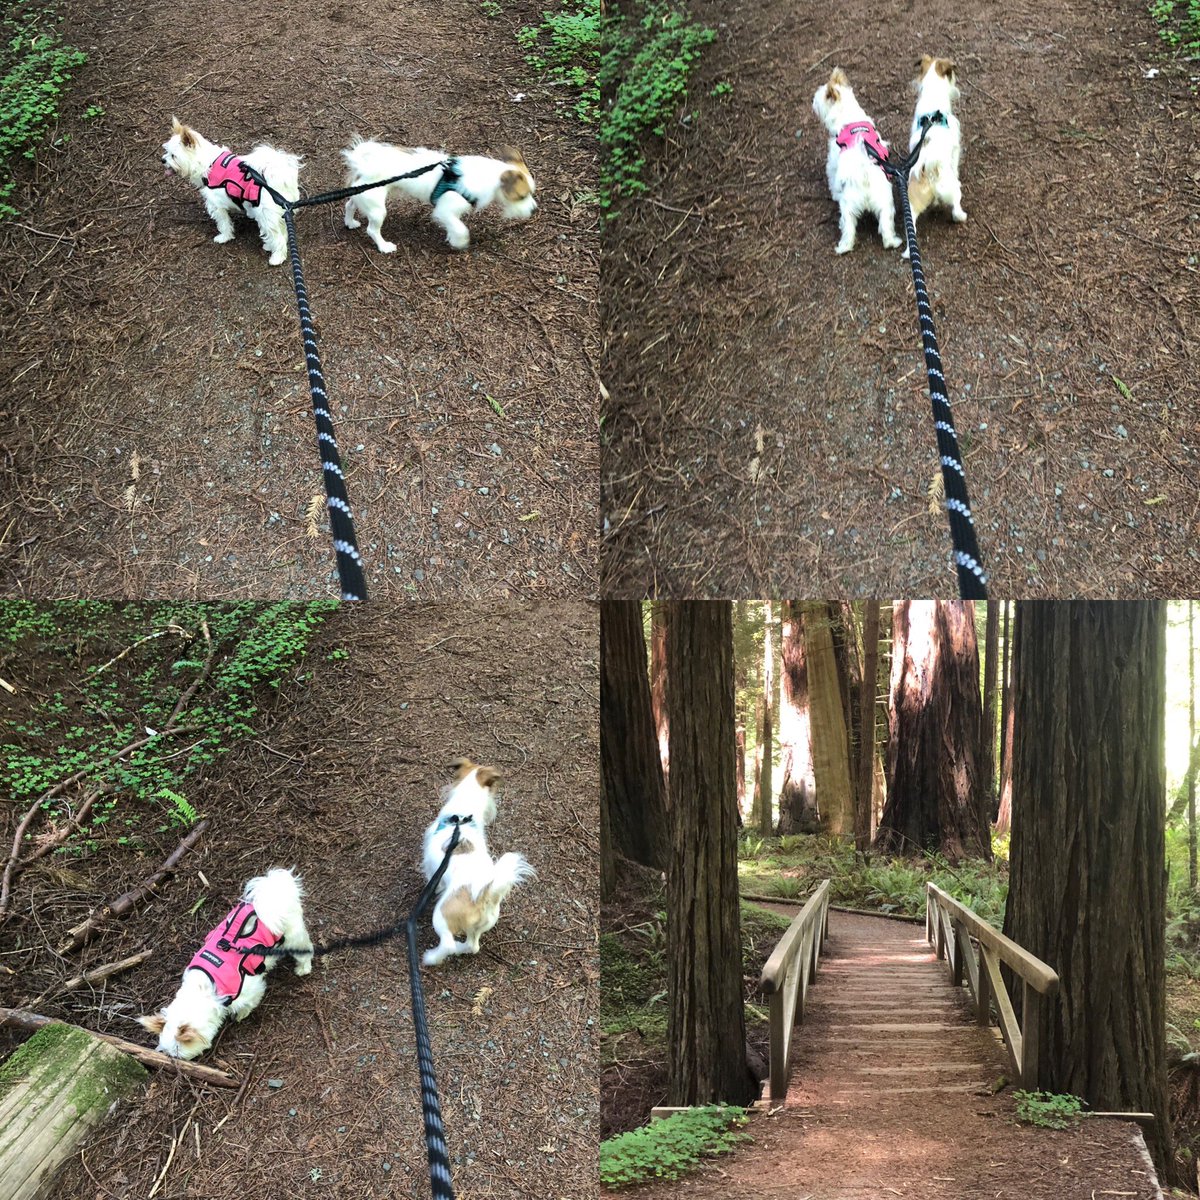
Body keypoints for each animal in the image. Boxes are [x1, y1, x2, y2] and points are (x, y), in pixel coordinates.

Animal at [136, 873, 314, 1060]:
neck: (203, 990)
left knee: (306, 950)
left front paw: (241, 1014)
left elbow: (249, 1004)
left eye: (178, 1053)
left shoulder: (251, 988)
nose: (172, 1059)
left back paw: (303, 968)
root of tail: (274, 889)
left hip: (293, 938)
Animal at [162, 117, 300, 267]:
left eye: (173, 156)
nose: (162, 160)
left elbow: (223, 224)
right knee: (282, 231)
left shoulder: (216, 206)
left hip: (265, 214)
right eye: (166, 152)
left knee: (278, 236)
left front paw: (224, 237)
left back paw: (277, 257)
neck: (207, 164)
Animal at [343, 139, 540, 252]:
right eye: (522, 196)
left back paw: (350, 223)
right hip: (377, 208)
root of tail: (362, 166)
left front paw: (451, 237)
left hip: (363, 197)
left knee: (349, 205)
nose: (534, 210)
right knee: (372, 230)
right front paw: (459, 243)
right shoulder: (445, 210)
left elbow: (454, 226)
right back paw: (384, 246)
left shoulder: (450, 214)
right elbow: (461, 229)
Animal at [422, 763, 535, 969]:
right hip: (479, 926)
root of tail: (485, 893)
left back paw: (432, 957)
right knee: (472, 946)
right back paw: (460, 949)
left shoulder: (430, 867)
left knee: (448, 944)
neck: (461, 817)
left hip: (441, 917)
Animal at [902, 56, 969, 255]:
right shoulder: (956, 149)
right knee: (956, 210)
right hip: (952, 190)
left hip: (910, 210)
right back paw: (962, 215)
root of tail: (926, 170)